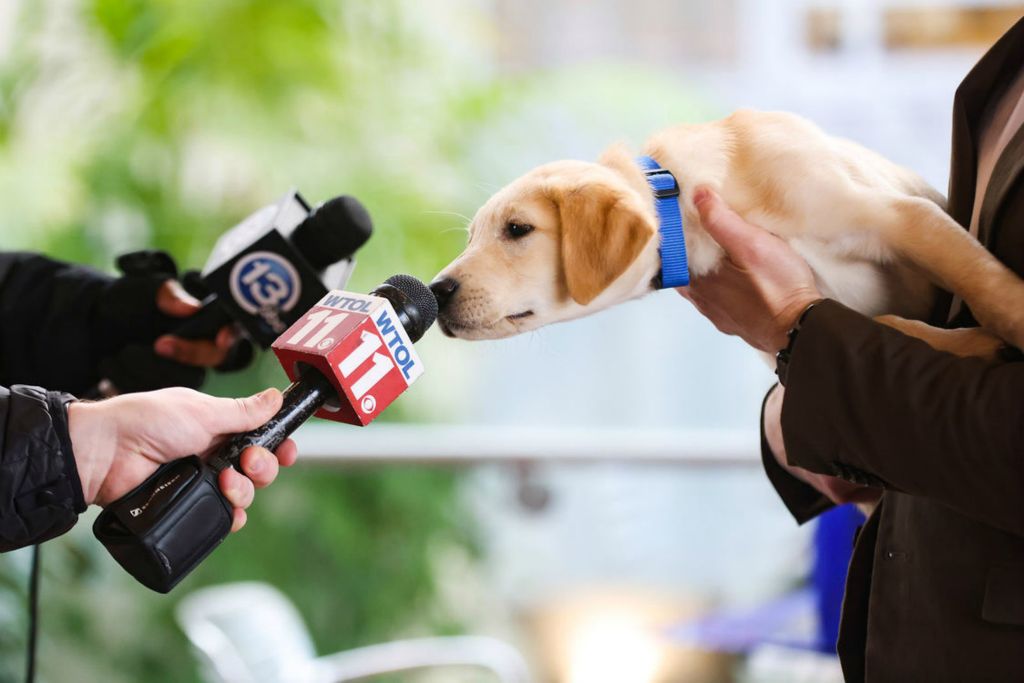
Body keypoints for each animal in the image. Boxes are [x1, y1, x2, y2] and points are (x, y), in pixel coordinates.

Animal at [430, 108, 1024, 358]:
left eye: (517, 229)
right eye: (471, 237)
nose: (435, 291)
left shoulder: (897, 215)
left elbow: (979, 279)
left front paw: (1008, 325)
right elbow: (889, 327)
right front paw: (974, 344)